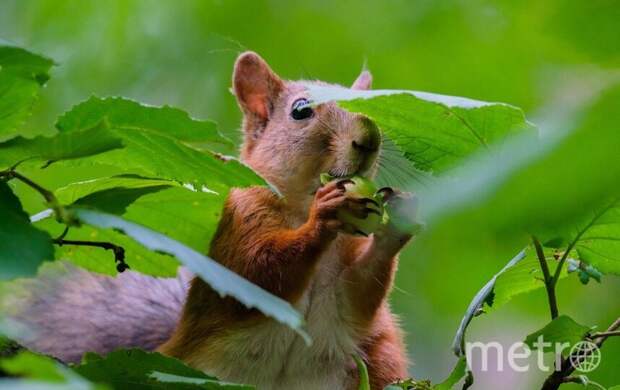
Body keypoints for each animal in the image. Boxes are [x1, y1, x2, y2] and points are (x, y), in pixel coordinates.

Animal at [7, 51, 416, 390]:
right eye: (301, 110)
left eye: (376, 110)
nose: (370, 136)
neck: (301, 202)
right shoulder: (238, 227)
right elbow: (259, 270)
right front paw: (324, 214)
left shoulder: (347, 282)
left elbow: (360, 290)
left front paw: (398, 223)